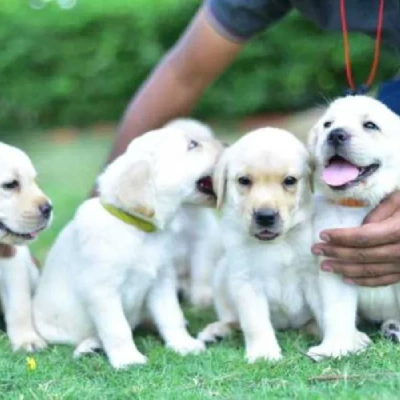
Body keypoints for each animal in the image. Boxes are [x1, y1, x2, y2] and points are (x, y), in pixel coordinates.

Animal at [197, 127, 316, 362]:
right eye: (243, 180)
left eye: (290, 180)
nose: (265, 216)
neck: (277, 243)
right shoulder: (247, 281)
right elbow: (255, 322)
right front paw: (264, 352)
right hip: (222, 274)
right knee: (233, 320)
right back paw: (217, 331)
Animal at [308, 95, 400, 360]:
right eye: (328, 124)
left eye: (370, 125)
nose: (335, 134)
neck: (357, 205)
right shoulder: (333, 265)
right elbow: (336, 312)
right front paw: (336, 347)